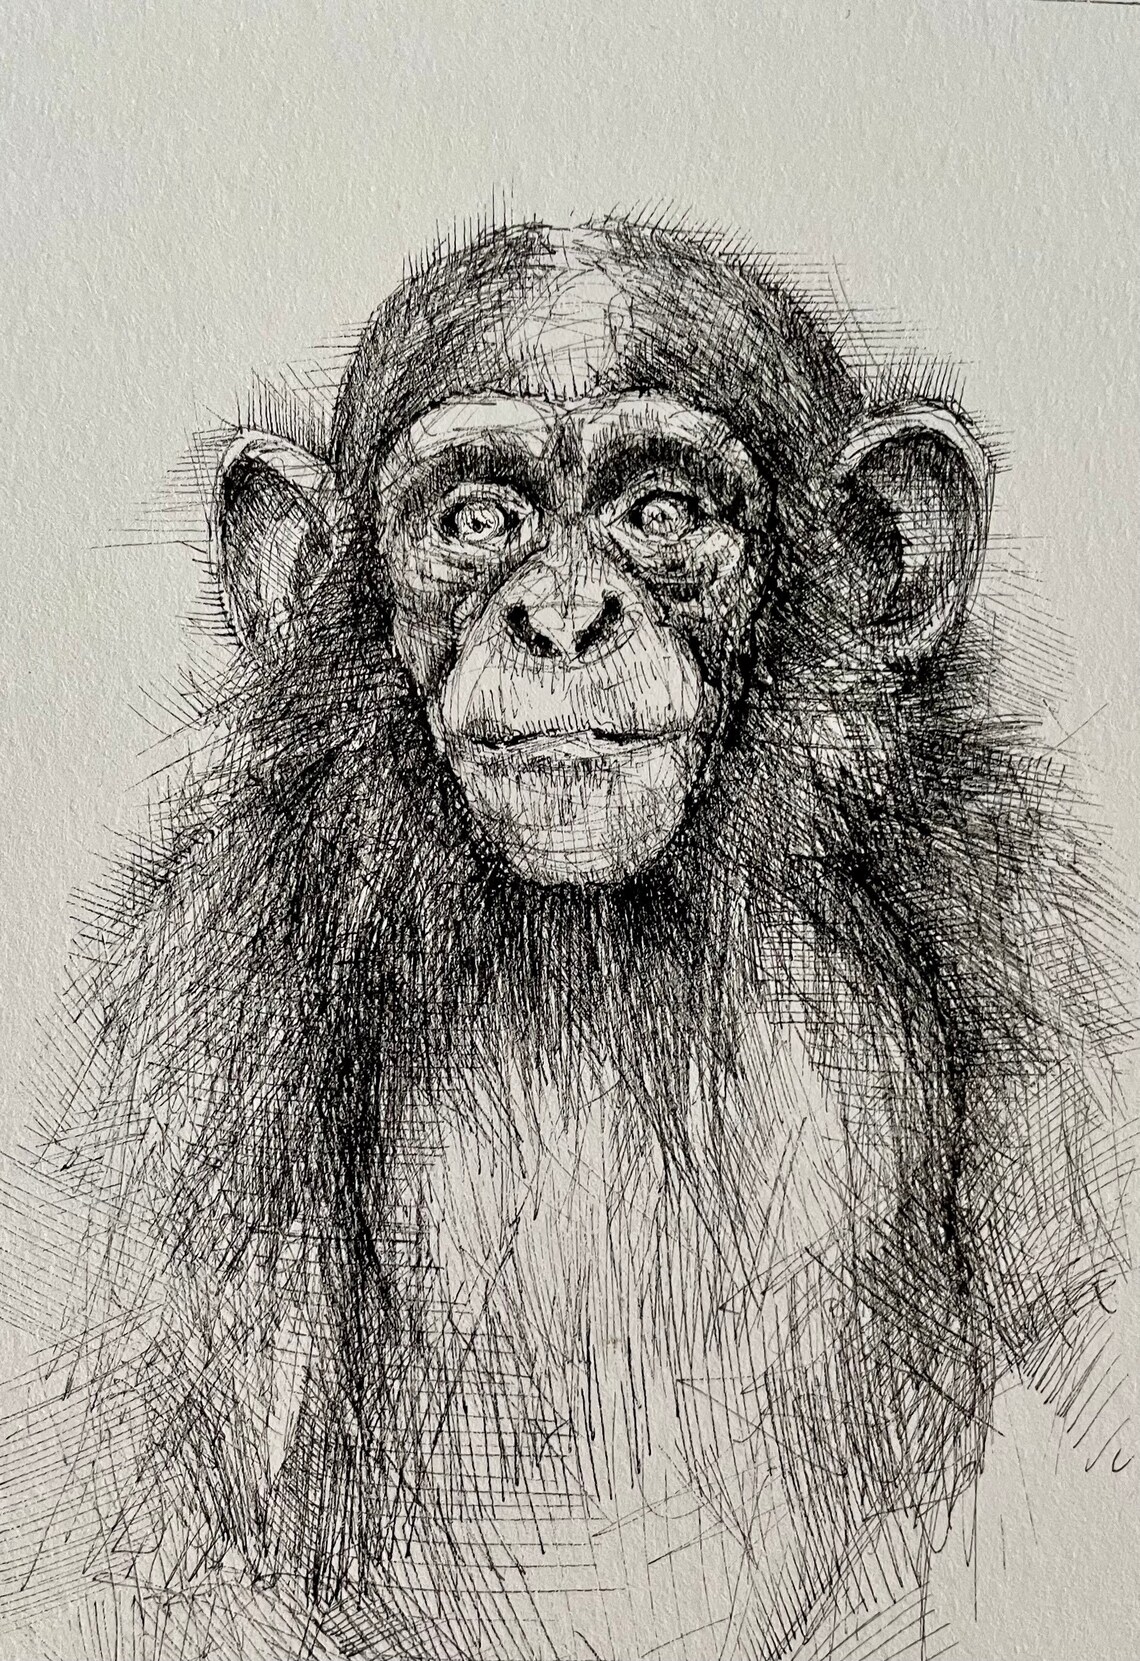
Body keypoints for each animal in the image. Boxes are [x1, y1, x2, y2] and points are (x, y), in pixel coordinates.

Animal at [9, 218, 1131, 1661]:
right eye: (476, 520)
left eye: (662, 512)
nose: (560, 617)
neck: (598, 940)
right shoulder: (181, 1035)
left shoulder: (1049, 942)